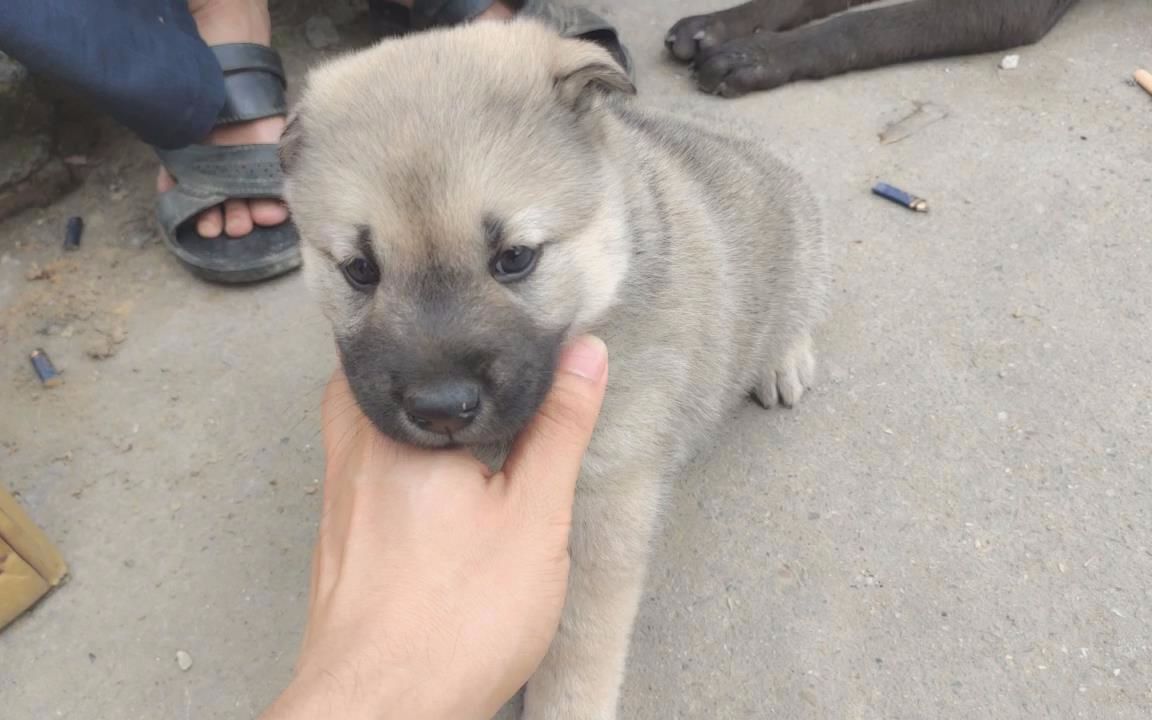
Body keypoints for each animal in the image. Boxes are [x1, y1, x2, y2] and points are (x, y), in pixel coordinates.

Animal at [279, 19, 829, 714]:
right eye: (359, 269)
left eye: (515, 257)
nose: (441, 410)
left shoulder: (606, 503)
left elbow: (577, 643)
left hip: (801, 250)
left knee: (798, 308)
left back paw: (784, 361)